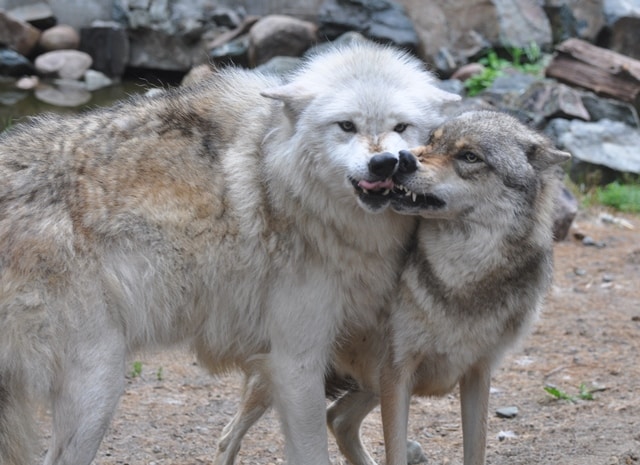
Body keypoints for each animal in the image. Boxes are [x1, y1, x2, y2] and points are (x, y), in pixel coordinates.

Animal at [1, 40, 460, 464]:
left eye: (402, 126)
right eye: (346, 126)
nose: (386, 162)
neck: (285, 185)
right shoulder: (296, 361)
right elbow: (313, 451)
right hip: (100, 383)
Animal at [210, 109, 568, 464]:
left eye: (469, 156)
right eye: (432, 140)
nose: (403, 158)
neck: (462, 281)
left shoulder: (477, 374)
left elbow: (474, 452)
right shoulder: (397, 374)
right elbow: (395, 451)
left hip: (364, 383)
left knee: (337, 419)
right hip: (288, 374)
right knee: (228, 436)